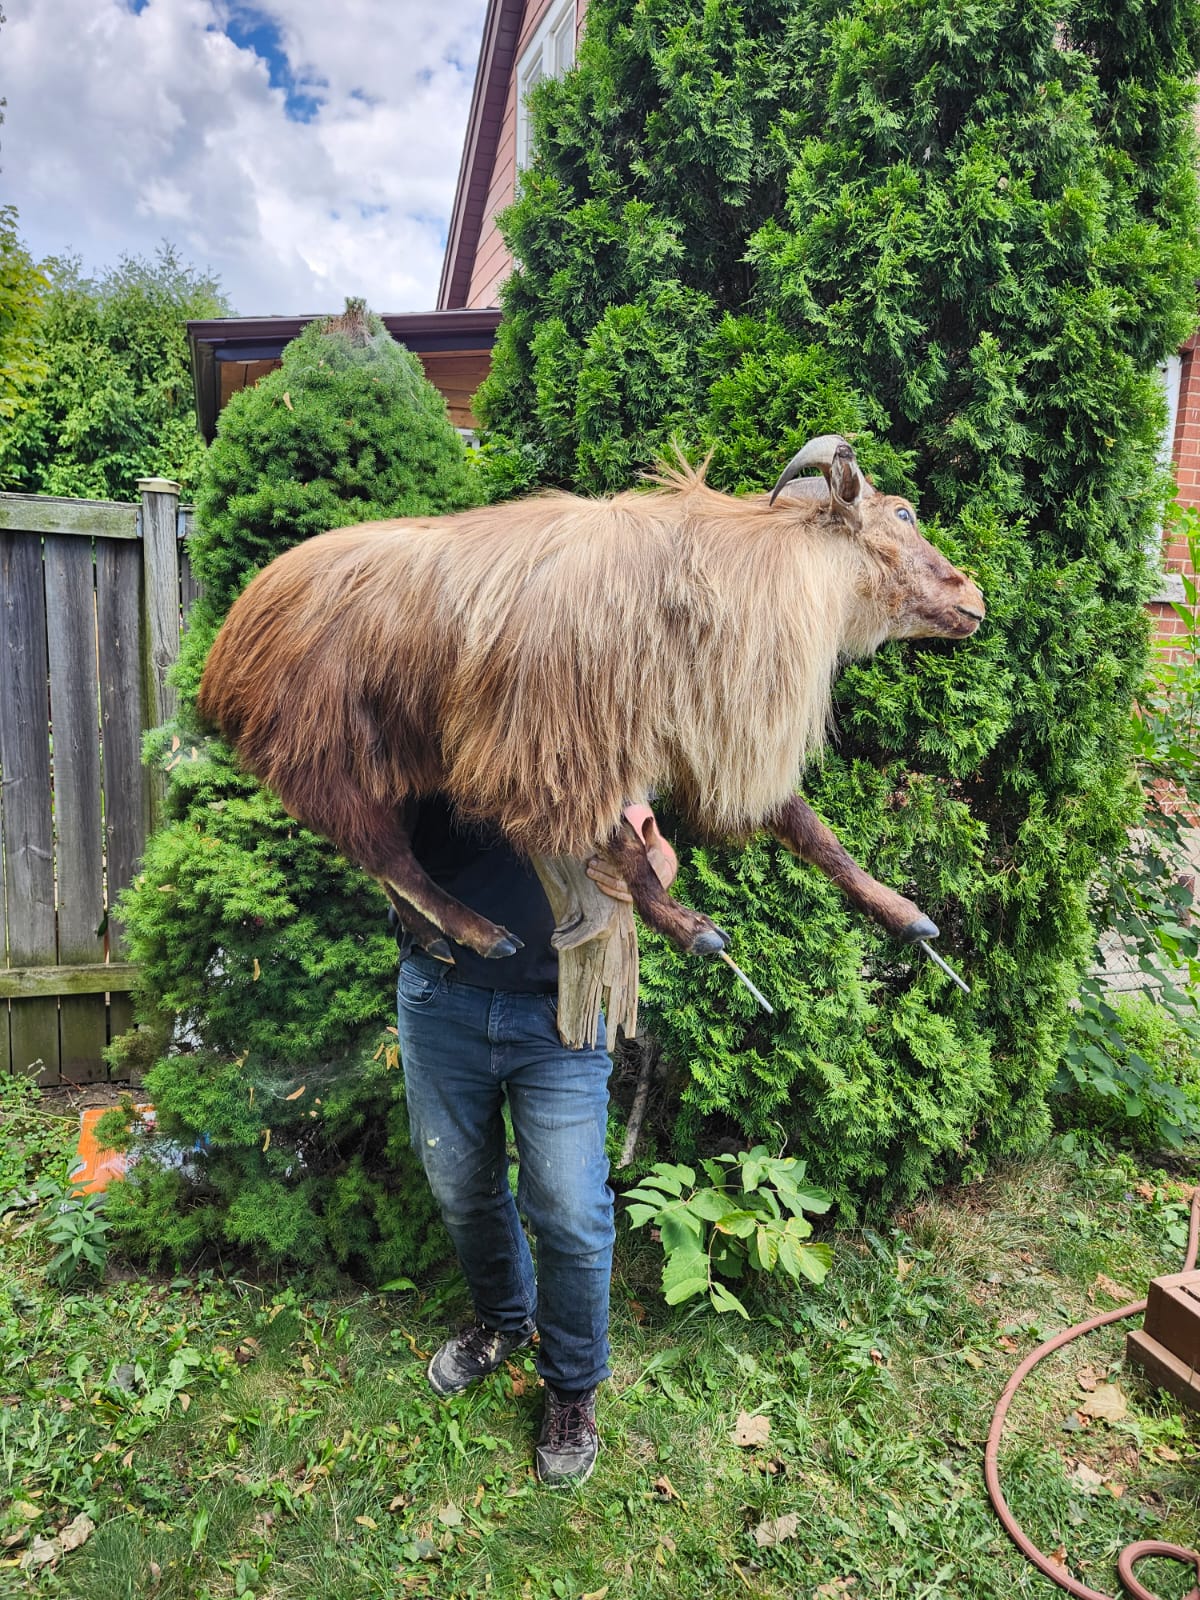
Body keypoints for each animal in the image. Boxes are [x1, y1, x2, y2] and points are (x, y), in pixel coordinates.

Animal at [198, 436, 985, 965]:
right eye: (905, 515)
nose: (973, 598)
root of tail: (223, 654)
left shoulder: (693, 741)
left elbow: (815, 834)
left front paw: (906, 915)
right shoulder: (556, 752)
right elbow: (627, 849)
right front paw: (692, 929)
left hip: (390, 765)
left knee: (385, 865)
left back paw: (434, 937)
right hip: (322, 757)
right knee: (387, 858)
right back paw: (481, 936)